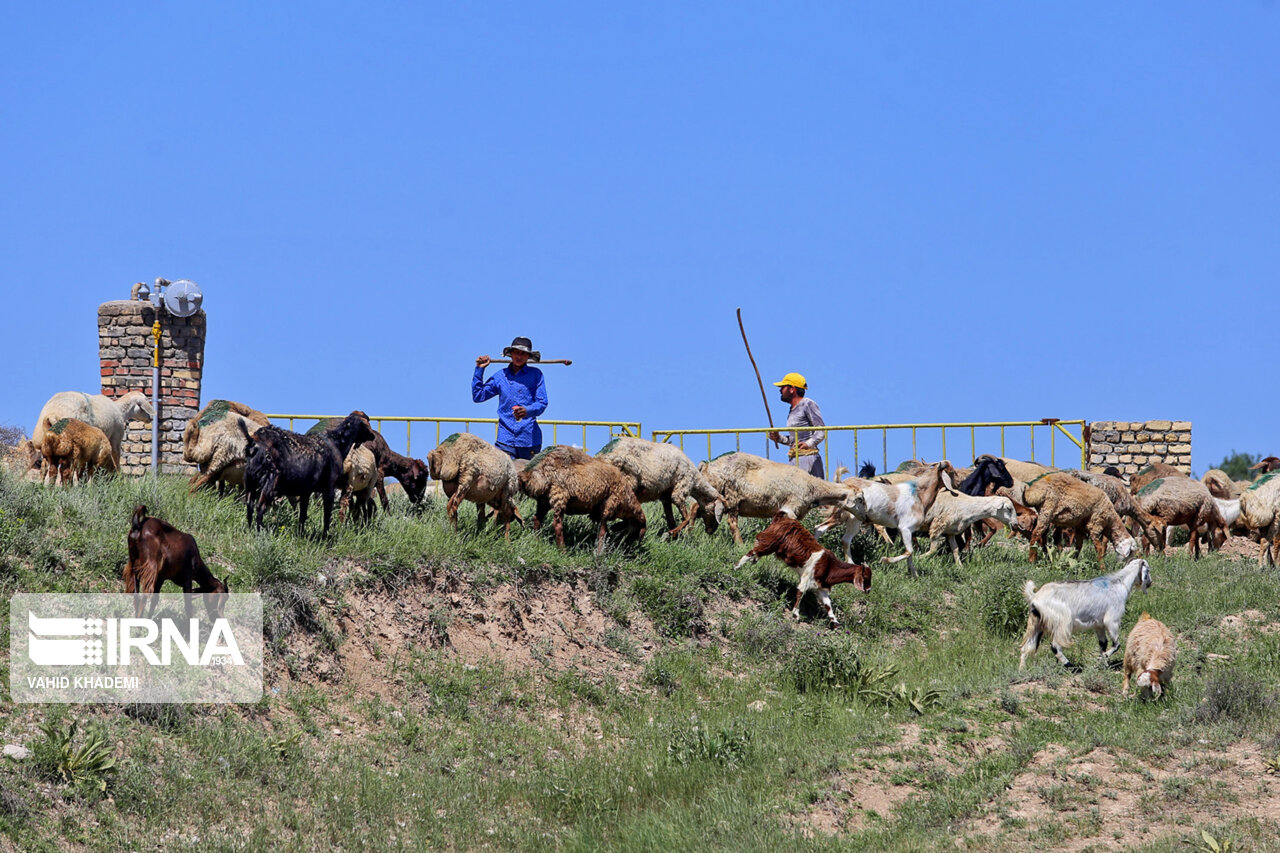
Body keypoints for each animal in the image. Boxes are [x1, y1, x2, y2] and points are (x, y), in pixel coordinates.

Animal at [514, 440, 645, 555]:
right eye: (635, 534)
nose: (626, 549)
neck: (627, 500)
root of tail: (532, 470)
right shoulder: (608, 506)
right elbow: (602, 532)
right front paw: (599, 554)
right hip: (559, 494)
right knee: (557, 524)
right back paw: (563, 551)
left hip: (544, 500)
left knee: (537, 519)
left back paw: (536, 540)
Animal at [593, 435, 727, 535]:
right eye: (715, 511)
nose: (711, 531)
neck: (696, 482)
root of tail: (603, 454)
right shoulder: (681, 488)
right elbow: (687, 517)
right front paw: (669, 535)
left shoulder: (665, 497)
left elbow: (671, 521)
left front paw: (675, 537)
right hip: (627, 478)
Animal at [696, 448, 865, 540]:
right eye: (860, 499)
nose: (865, 518)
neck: (813, 487)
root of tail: (707, 465)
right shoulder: (791, 508)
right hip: (730, 497)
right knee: (731, 523)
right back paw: (740, 544)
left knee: (696, 509)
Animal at [737, 512, 875, 625]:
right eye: (866, 577)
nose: (869, 590)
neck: (830, 566)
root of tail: (782, 517)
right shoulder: (807, 577)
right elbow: (800, 592)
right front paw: (795, 614)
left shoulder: (820, 586)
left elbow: (828, 604)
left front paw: (835, 621)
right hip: (769, 541)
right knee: (751, 552)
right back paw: (736, 567)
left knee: (756, 554)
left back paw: (751, 562)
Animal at [1013, 558, 1157, 671]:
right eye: (1148, 570)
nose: (1150, 583)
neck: (1119, 584)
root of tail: (1035, 596)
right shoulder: (1112, 620)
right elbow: (1117, 645)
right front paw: (1102, 658)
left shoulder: (1098, 625)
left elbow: (1103, 643)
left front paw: (1103, 664)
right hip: (1062, 621)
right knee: (1055, 646)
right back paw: (1071, 666)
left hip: (1036, 624)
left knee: (1025, 648)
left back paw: (1021, 669)